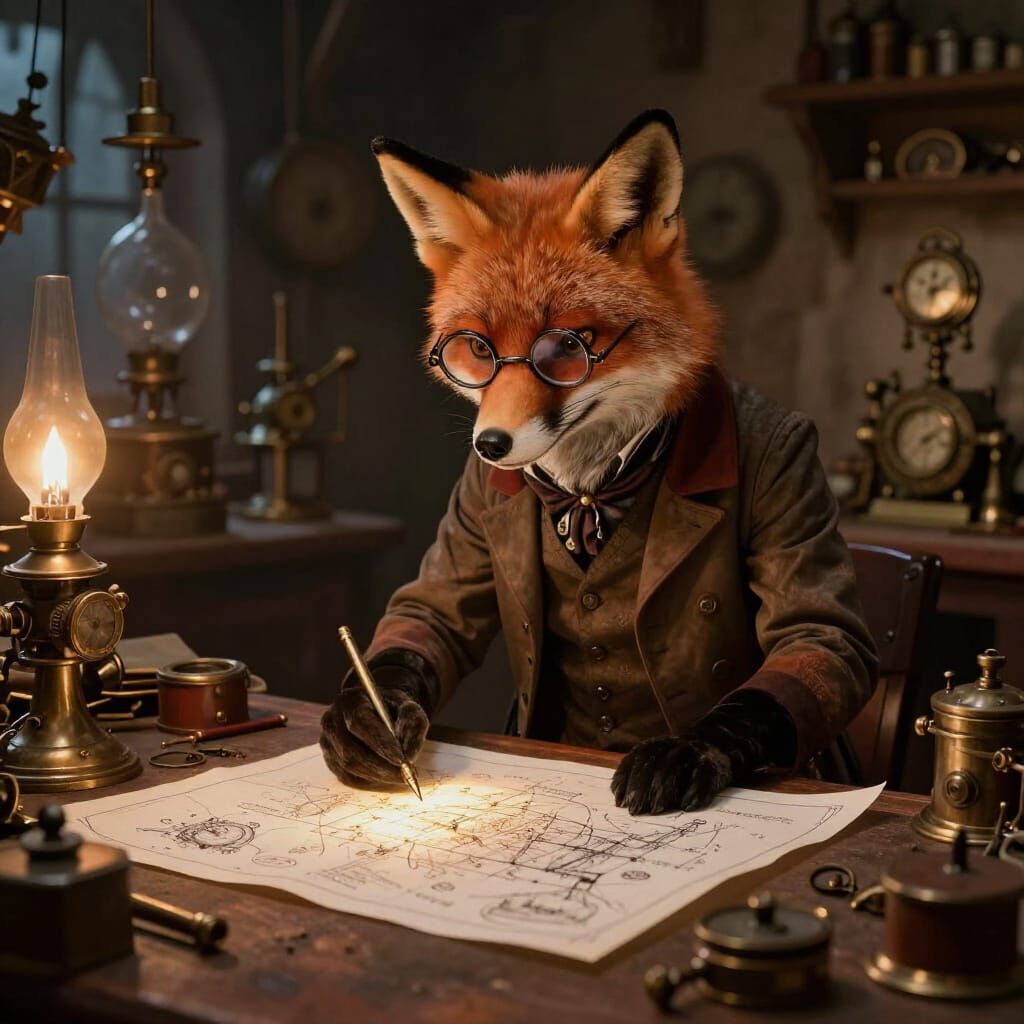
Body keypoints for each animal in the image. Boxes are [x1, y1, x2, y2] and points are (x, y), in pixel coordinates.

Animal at [320, 110, 877, 816]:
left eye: (564, 347)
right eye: (477, 349)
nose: (489, 446)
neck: (589, 489)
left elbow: (818, 634)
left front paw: (686, 750)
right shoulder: (465, 524)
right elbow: (424, 614)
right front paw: (367, 720)